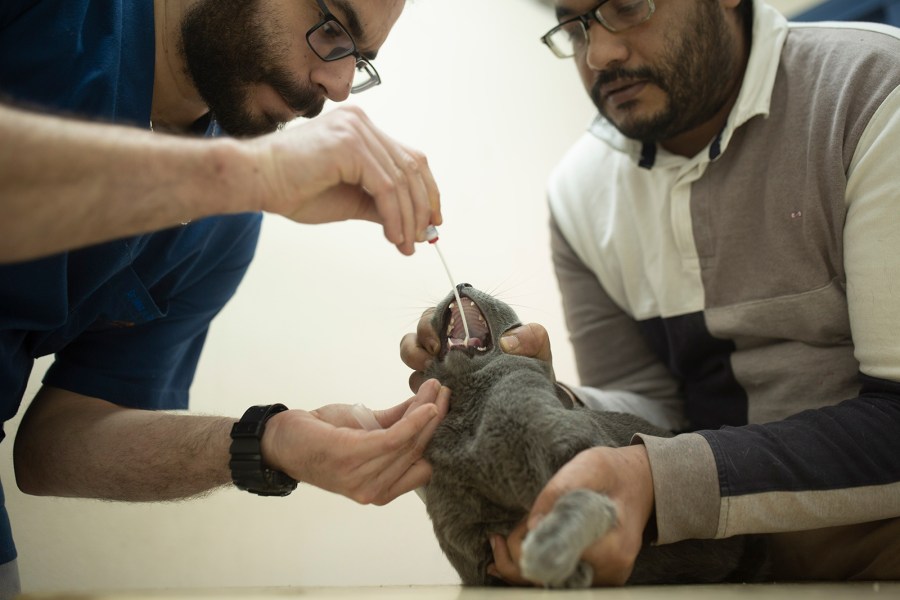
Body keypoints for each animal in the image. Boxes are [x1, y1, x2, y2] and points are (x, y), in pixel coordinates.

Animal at [422, 284, 768, 588]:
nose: (462, 282)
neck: (472, 414)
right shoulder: (470, 542)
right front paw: (568, 573)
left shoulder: (583, 452)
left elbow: (580, 498)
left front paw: (549, 553)